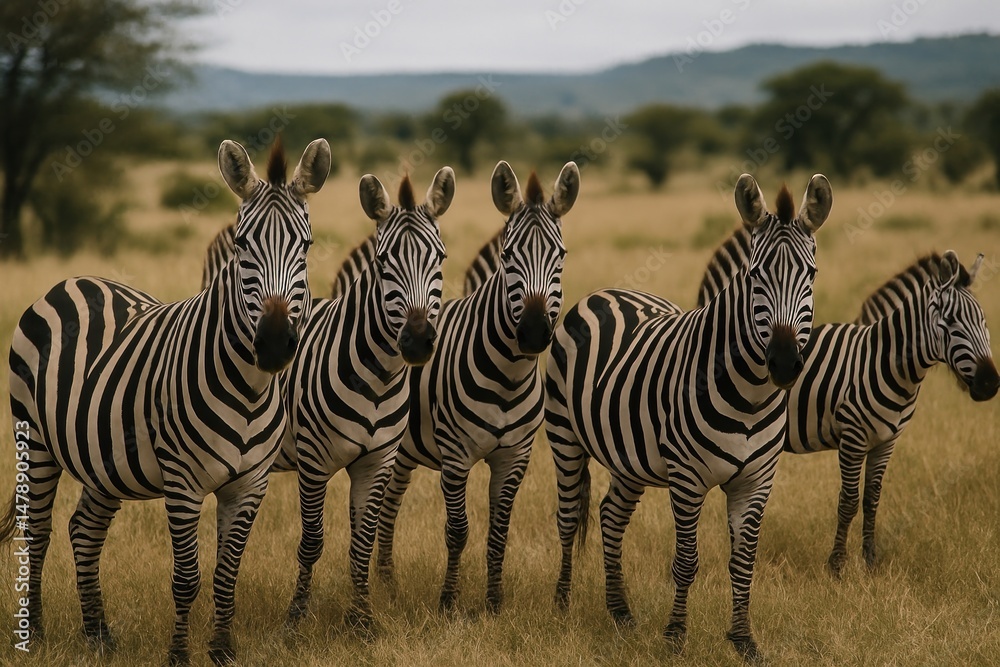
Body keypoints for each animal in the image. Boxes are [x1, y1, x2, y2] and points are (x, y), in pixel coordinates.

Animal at [1, 137, 331, 666]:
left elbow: (226, 574)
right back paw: (37, 635)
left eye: (306, 246)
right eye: (242, 246)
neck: (250, 390)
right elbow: (186, 579)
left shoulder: (250, 483)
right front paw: (178, 655)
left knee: (84, 530)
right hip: (33, 438)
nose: (275, 343)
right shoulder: (182, 481)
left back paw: (98, 635)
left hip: (104, 461)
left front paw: (222, 650)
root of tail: (74, 279)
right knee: (38, 532)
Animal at [375, 161, 580, 614]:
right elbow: (457, 531)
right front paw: (448, 603)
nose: (533, 332)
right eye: (507, 256)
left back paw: (388, 585)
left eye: (560, 256)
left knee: (390, 504)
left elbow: (499, 531)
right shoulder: (455, 456)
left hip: (403, 451)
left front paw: (494, 602)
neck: (508, 375)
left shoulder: (515, 456)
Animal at [544, 174, 832, 661]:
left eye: (810, 275)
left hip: (628, 458)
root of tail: (607, 293)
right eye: (754, 276)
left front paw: (744, 640)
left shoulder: (757, 480)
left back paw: (620, 612)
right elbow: (686, 560)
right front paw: (676, 636)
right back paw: (562, 606)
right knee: (568, 518)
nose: (784, 363)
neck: (751, 396)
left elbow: (744, 561)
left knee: (610, 515)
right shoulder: (687, 477)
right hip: (564, 435)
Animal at [697, 235, 999, 574]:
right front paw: (837, 565)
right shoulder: (852, 438)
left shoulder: (886, 441)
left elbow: (872, 499)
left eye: (984, 320)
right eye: (949, 322)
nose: (990, 383)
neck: (880, 360)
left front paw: (870, 560)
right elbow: (849, 501)